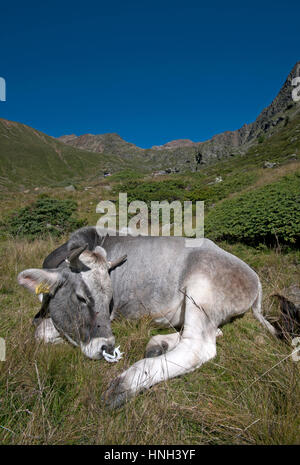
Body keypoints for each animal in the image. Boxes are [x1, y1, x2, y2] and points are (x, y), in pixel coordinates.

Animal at [17, 227, 278, 406]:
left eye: (110, 300)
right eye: (81, 298)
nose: (107, 346)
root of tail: (254, 276)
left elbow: (41, 331)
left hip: (201, 289)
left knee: (198, 347)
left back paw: (123, 386)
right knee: (211, 332)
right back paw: (158, 344)